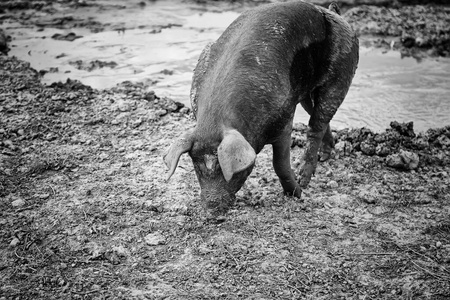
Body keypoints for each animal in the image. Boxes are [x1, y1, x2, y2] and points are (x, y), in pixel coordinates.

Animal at [164, 0, 358, 216]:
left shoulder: (285, 118)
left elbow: (280, 164)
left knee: (317, 123)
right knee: (318, 117)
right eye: (196, 166)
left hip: (341, 75)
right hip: (306, 92)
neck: (217, 120)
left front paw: (298, 193)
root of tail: (335, 14)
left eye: (225, 169)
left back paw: (305, 176)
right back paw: (325, 155)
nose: (210, 208)